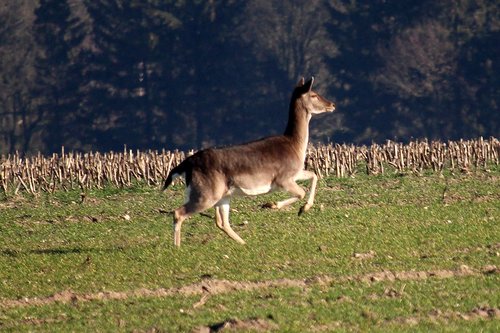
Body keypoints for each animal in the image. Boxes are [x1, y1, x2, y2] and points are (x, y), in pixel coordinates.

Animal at [164, 76, 336, 245]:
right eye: (313, 94)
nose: (332, 104)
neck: (295, 146)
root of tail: (187, 165)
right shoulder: (282, 178)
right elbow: (301, 192)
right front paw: (273, 205)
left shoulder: (296, 172)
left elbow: (314, 175)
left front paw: (302, 209)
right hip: (206, 193)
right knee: (179, 213)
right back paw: (177, 248)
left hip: (221, 195)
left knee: (221, 222)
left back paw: (244, 244)